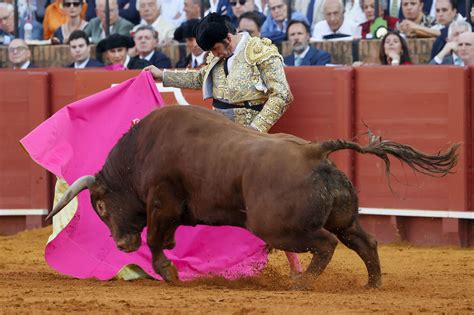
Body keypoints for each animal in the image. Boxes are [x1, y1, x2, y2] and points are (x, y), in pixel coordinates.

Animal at [48, 105, 460, 288]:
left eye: (101, 206)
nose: (120, 244)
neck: (140, 154)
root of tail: (314, 151)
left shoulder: (162, 201)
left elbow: (155, 239)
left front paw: (169, 273)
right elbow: (162, 238)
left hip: (277, 226)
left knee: (325, 244)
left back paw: (301, 283)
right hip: (344, 218)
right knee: (364, 241)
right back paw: (372, 284)